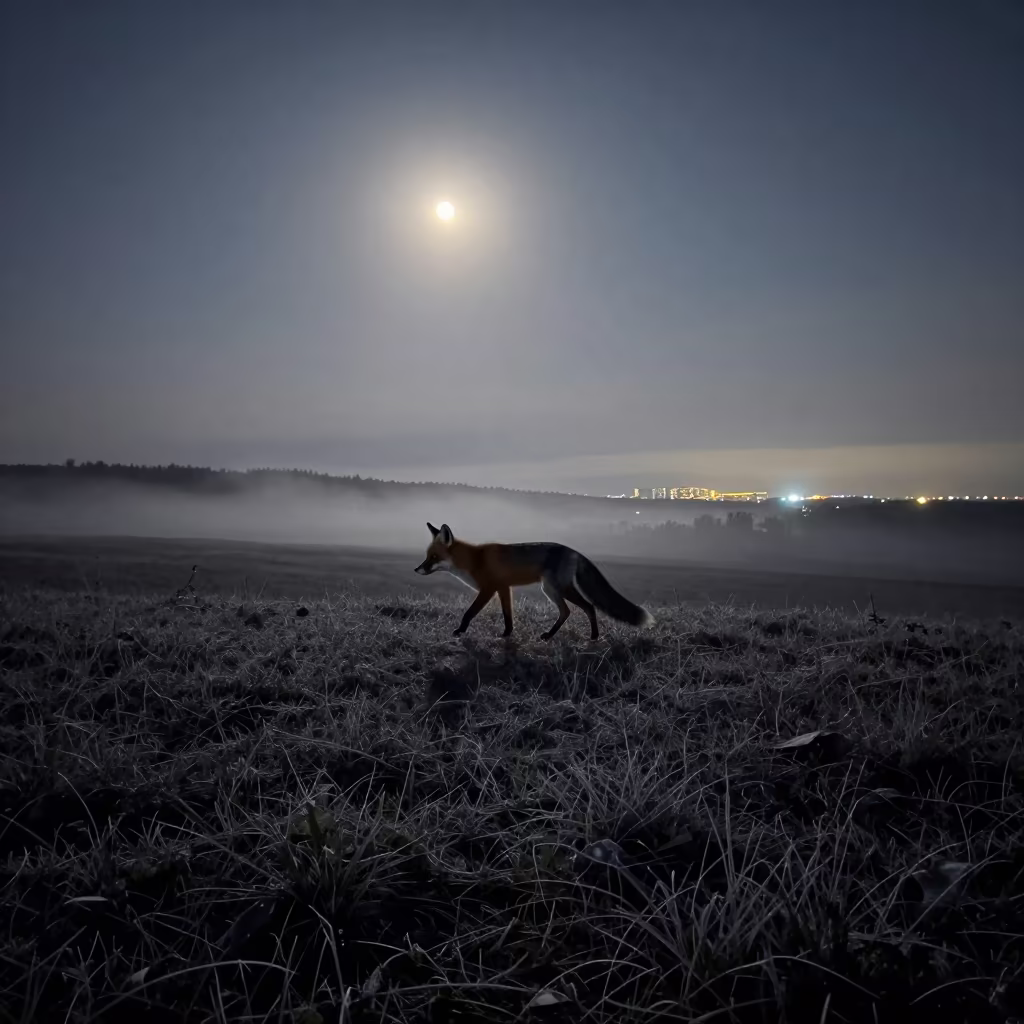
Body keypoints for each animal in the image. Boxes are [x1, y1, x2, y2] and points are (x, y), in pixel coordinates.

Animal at [414, 522, 654, 640]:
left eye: (433, 557)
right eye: (426, 556)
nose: (417, 569)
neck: (474, 560)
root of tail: (574, 551)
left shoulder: (488, 589)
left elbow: (469, 613)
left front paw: (460, 631)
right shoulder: (503, 587)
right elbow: (508, 615)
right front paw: (507, 634)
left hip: (558, 588)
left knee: (589, 607)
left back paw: (593, 637)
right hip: (550, 590)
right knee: (567, 611)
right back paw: (550, 635)